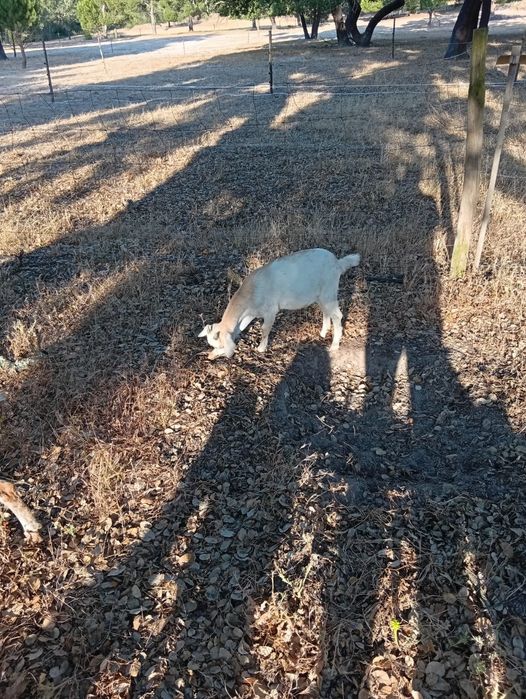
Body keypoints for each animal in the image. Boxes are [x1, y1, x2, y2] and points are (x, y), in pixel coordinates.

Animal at [198, 248, 360, 359]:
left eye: (221, 345)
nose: (210, 357)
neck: (251, 292)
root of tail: (338, 263)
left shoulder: (270, 311)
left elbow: (265, 329)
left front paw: (261, 348)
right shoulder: (251, 313)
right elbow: (242, 326)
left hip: (329, 292)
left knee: (338, 315)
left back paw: (334, 346)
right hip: (320, 296)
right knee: (326, 312)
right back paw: (323, 332)